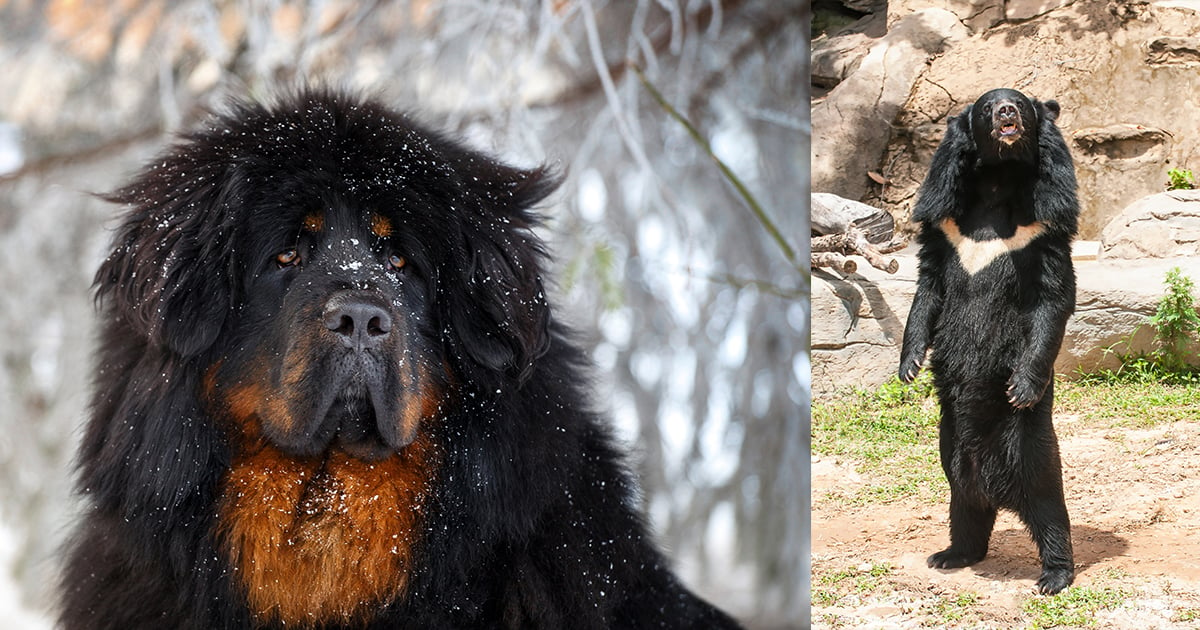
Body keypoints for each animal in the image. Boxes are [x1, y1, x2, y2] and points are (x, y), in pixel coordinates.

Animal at [902, 88, 1080, 595]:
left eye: (1021, 103)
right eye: (987, 107)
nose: (1007, 112)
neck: (999, 182)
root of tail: (994, 489)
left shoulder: (1045, 227)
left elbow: (1053, 298)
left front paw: (1022, 386)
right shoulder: (944, 225)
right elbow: (929, 288)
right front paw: (909, 365)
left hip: (1027, 446)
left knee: (1047, 502)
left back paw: (1055, 575)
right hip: (950, 451)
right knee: (963, 504)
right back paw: (951, 555)